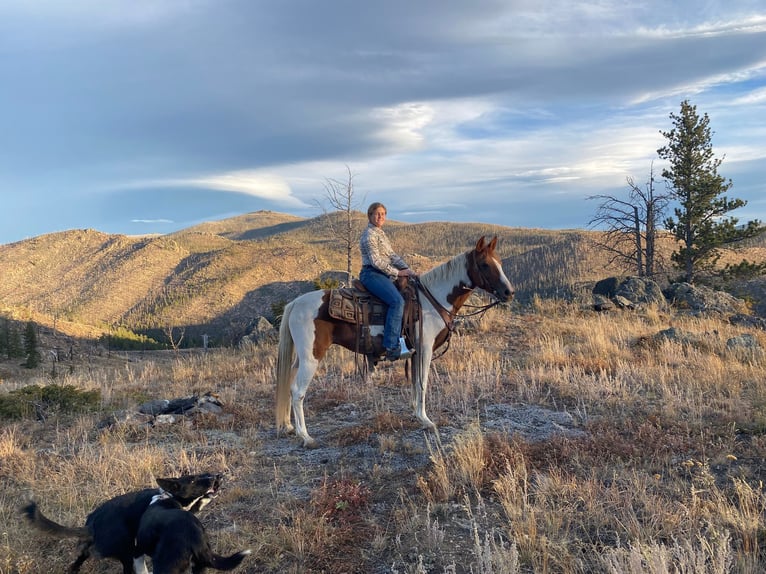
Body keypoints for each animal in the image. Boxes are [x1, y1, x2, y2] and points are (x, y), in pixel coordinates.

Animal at [276, 235, 516, 450]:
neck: (431, 300)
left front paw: (417, 414)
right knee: (297, 391)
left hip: (300, 357)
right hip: (311, 357)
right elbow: (423, 382)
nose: (509, 292)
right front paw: (426, 420)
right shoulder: (425, 349)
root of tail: (295, 303)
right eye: (485, 264)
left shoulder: (417, 352)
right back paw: (306, 437)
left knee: (288, 381)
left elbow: (415, 383)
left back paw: (288, 426)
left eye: (500, 263)